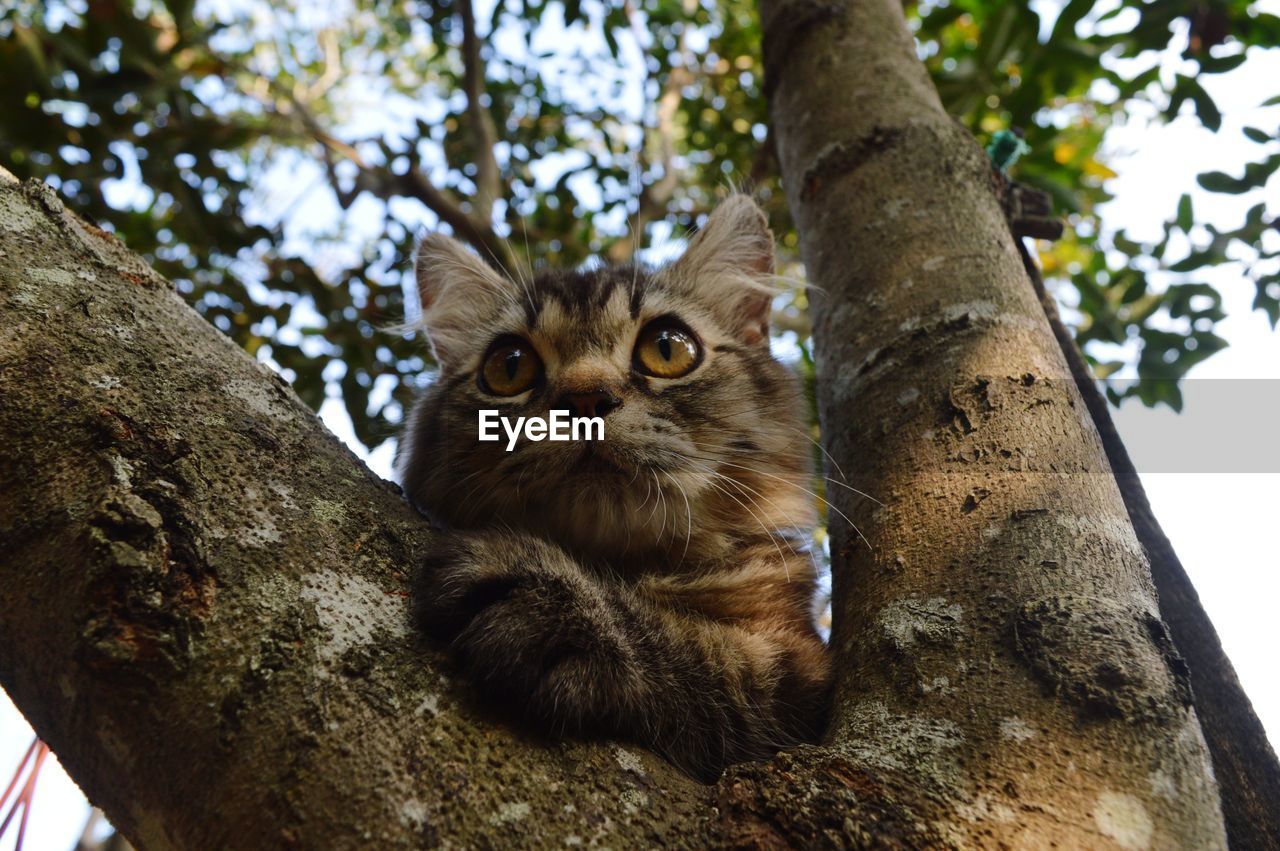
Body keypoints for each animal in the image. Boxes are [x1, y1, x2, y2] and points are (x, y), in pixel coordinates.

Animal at [404, 195, 834, 778]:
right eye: (509, 366)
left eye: (667, 349)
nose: (585, 398)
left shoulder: (800, 673)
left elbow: (711, 660)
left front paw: (553, 606)